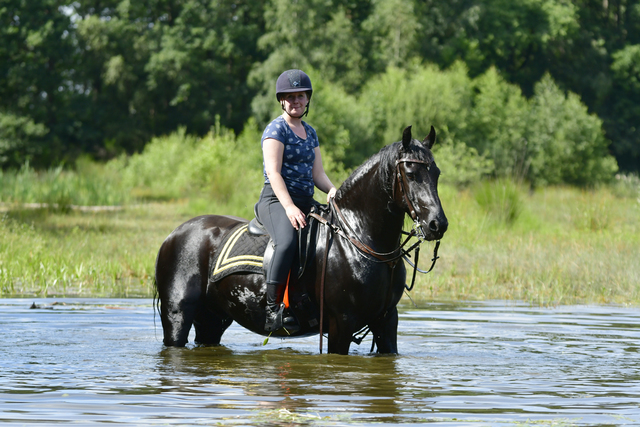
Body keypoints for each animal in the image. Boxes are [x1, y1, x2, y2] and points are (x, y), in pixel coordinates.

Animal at [155, 125, 448, 356]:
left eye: (436, 173)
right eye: (411, 174)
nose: (438, 224)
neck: (357, 238)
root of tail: (173, 235)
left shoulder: (387, 321)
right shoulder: (341, 323)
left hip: (212, 319)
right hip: (177, 316)